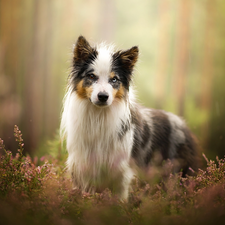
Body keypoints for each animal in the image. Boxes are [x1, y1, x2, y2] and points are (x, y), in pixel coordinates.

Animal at [60, 36, 199, 200]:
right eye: (91, 76)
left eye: (114, 80)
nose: (103, 96)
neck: (99, 116)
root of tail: (183, 125)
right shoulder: (83, 167)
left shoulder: (122, 170)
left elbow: (120, 197)